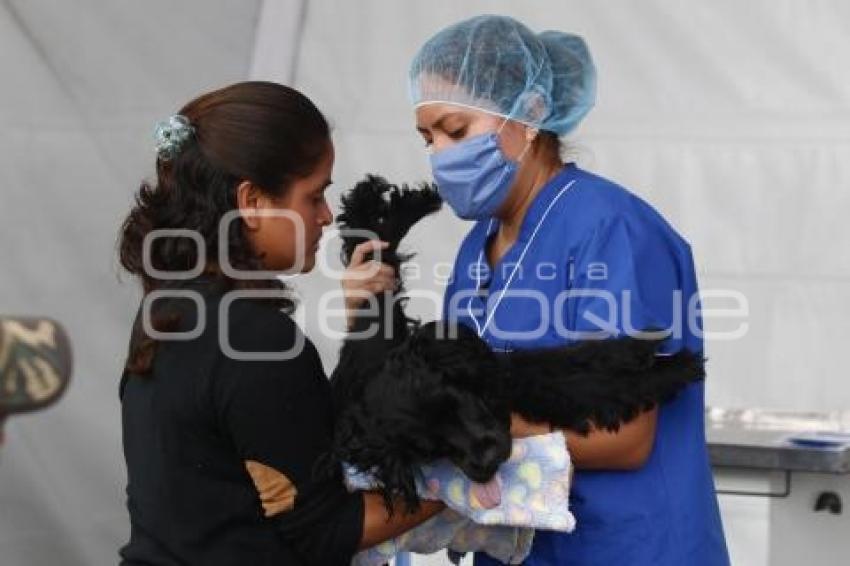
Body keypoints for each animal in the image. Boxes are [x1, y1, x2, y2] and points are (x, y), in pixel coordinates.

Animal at [324, 175, 704, 512]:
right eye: (428, 451)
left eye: (453, 401)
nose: (486, 461)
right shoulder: (518, 385)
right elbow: (584, 387)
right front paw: (669, 370)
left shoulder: (501, 370)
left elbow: (574, 362)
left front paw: (644, 354)